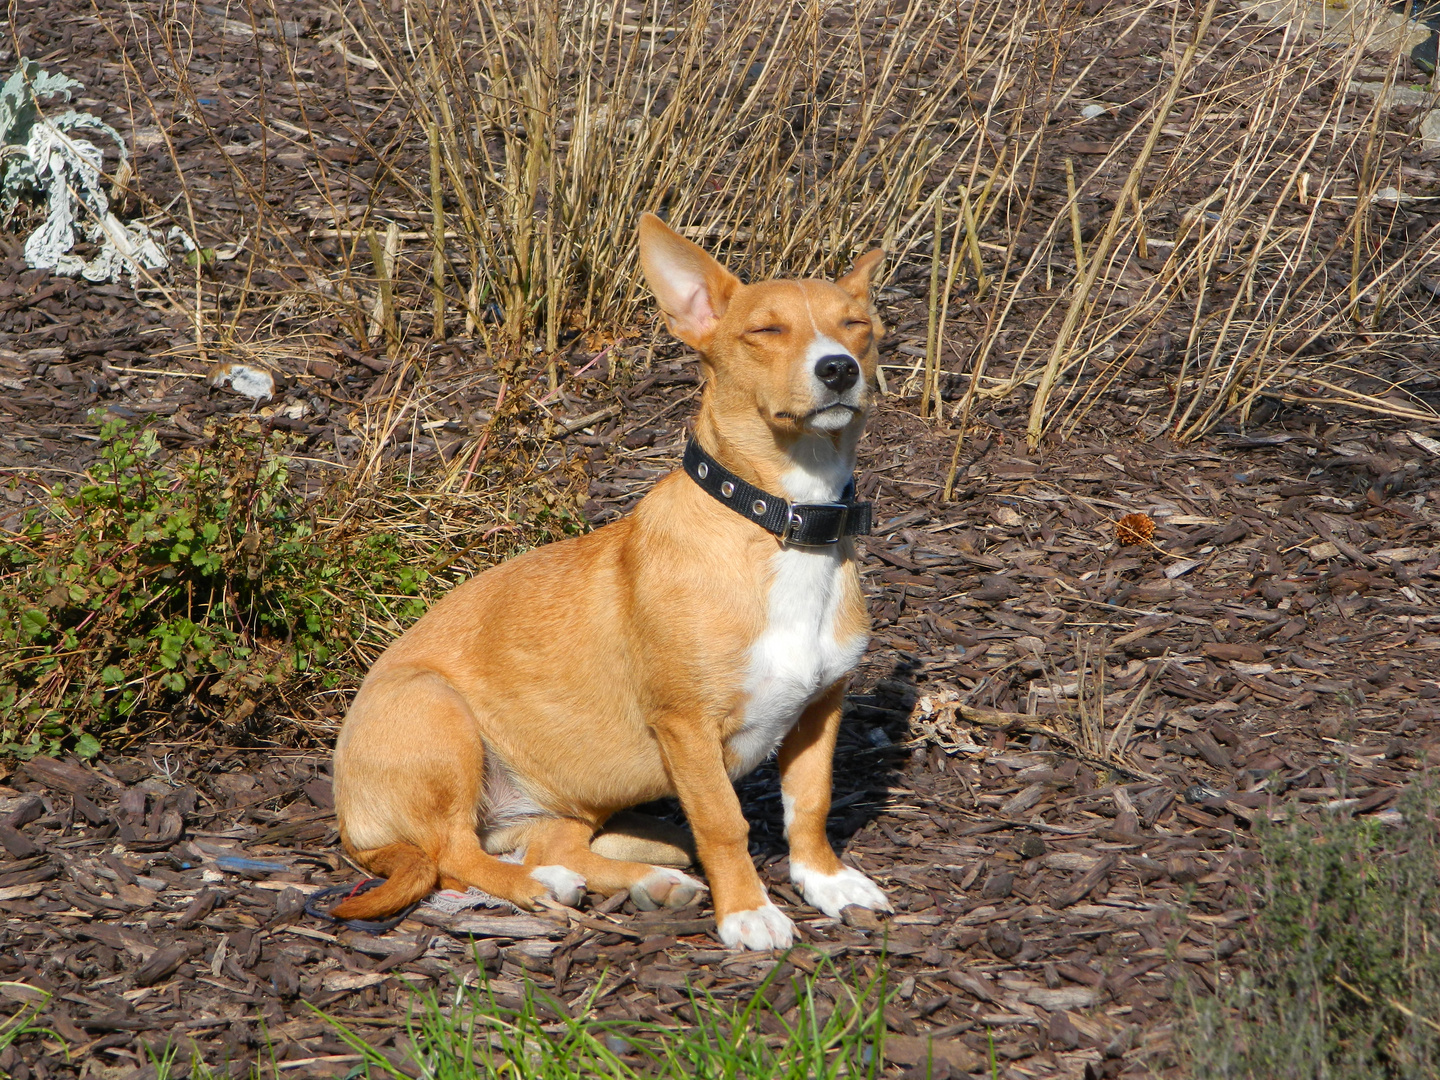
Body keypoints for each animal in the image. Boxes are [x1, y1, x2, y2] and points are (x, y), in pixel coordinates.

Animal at [332, 213, 892, 944]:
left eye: (858, 325)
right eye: (766, 331)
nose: (838, 368)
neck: (786, 523)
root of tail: (353, 821)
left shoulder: (821, 708)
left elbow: (812, 805)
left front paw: (826, 881)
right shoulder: (687, 728)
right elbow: (724, 823)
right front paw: (748, 910)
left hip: (570, 797)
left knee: (548, 846)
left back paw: (644, 880)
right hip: (437, 713)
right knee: (453, 856)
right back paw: (536, 887)